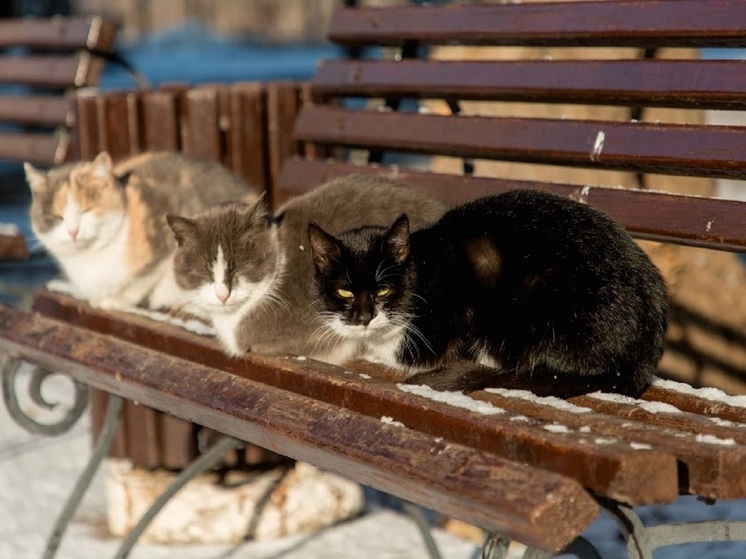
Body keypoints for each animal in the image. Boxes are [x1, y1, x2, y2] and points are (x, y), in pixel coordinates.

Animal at [25, 151, 256, 312]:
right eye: (56, 217)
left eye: (87, 210)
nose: (73, 231)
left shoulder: (165, 243)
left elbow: (142, 280)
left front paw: (115, 300)